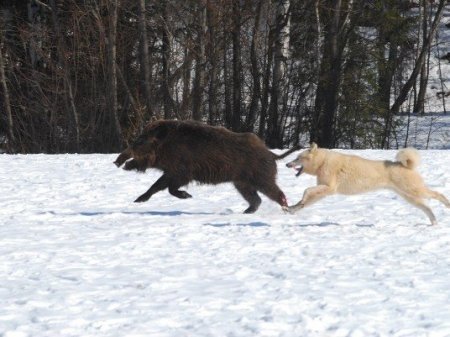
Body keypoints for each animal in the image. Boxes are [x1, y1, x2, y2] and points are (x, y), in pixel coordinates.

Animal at [284, 143, 450, 224]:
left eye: (298, 158)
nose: (286, 164)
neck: (322, 162)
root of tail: (406, 165)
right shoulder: (323, 191)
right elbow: (304, 201)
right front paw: (291, 209)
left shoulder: (329, 188)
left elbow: (306, 191)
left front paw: (295, 206)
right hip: (409, 196)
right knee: (427, 208)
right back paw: (434, 223)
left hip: (414, 191)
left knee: (438, 194)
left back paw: (447, 206)